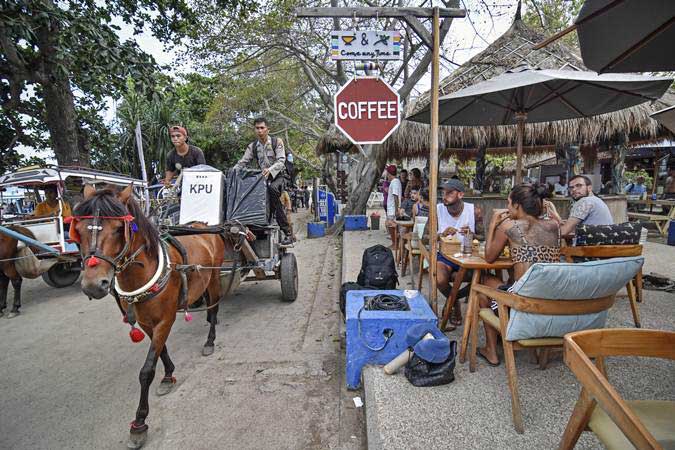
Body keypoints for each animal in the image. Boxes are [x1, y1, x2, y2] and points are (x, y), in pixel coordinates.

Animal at [72, 185, 234, 448]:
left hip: (214, 277)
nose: (93, 285)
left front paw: (139, 423)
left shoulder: (165, 319)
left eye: (118, 229)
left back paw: (210, 339)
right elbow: (161, 350)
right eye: (77, 231)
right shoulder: (147, 323)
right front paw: (168, 375)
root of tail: (203, 225)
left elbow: (146, 370)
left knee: (214, 307)